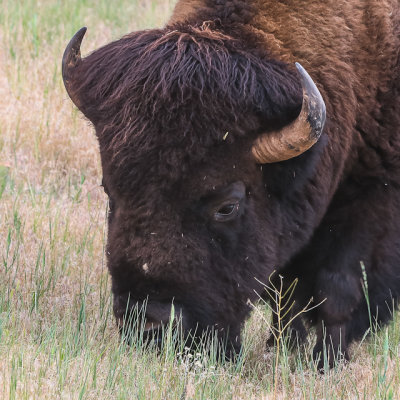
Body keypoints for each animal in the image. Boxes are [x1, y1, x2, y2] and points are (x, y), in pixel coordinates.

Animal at [61, 0, 400, 368]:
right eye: (109, 192)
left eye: (227, 207)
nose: (149, 324)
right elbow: (289, 294)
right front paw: (279, 350)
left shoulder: (372, 202)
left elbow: (338, 289)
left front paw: (326, 363)